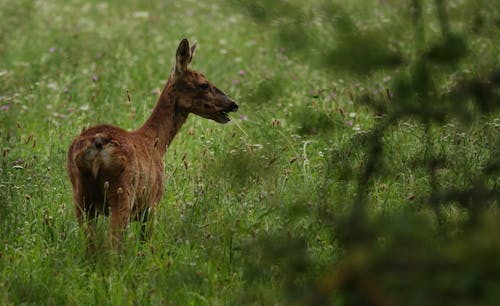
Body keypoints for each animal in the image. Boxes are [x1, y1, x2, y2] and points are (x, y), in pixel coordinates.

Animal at [66, 38, 238, 252]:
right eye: (204, 84)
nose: (233, 104)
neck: (156, 143)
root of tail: (97, 144)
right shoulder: (152, 204)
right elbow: (144, 246)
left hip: (80, 195)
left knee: (91, 245)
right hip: (122, 192)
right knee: (114, 244)